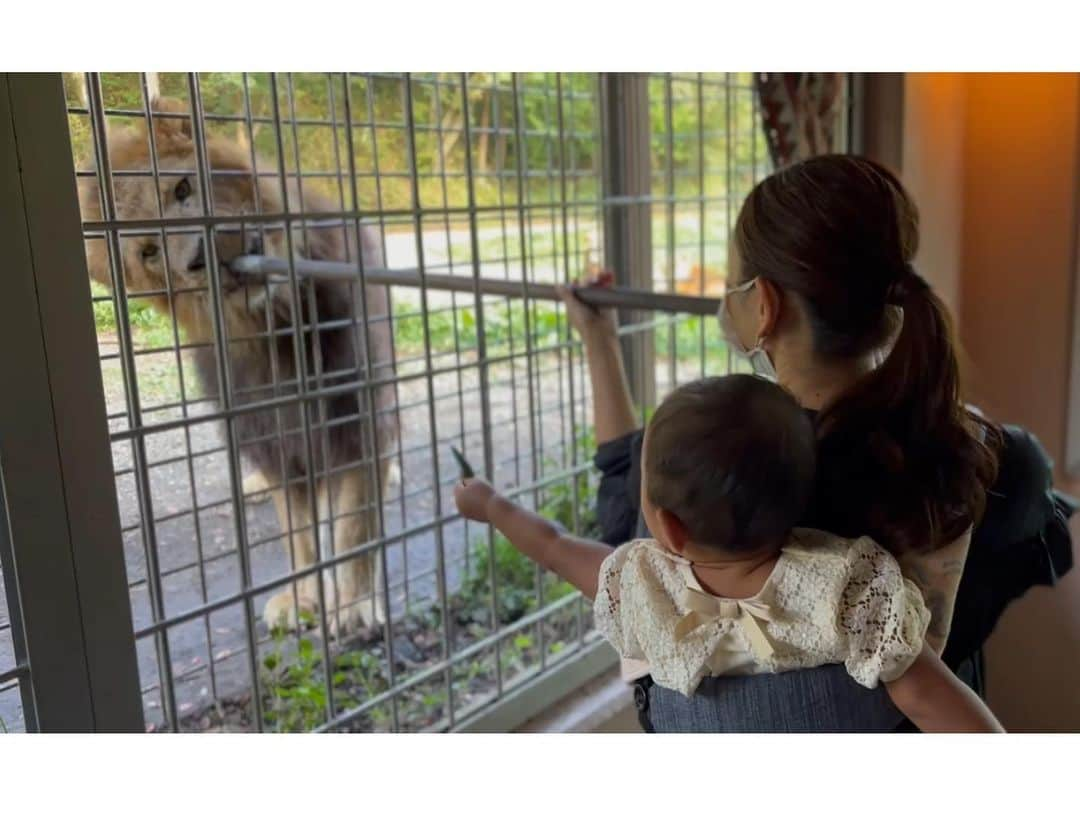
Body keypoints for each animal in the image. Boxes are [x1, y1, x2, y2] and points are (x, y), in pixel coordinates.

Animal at [78, 97, 397, 639]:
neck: (278, 329)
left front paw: (353, 607)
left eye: (182, 189)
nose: (202, 257)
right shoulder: (276, 445)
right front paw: (304, 600)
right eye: (149, 253)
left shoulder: (359, 422)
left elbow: (354, 525)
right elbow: (300, 534)